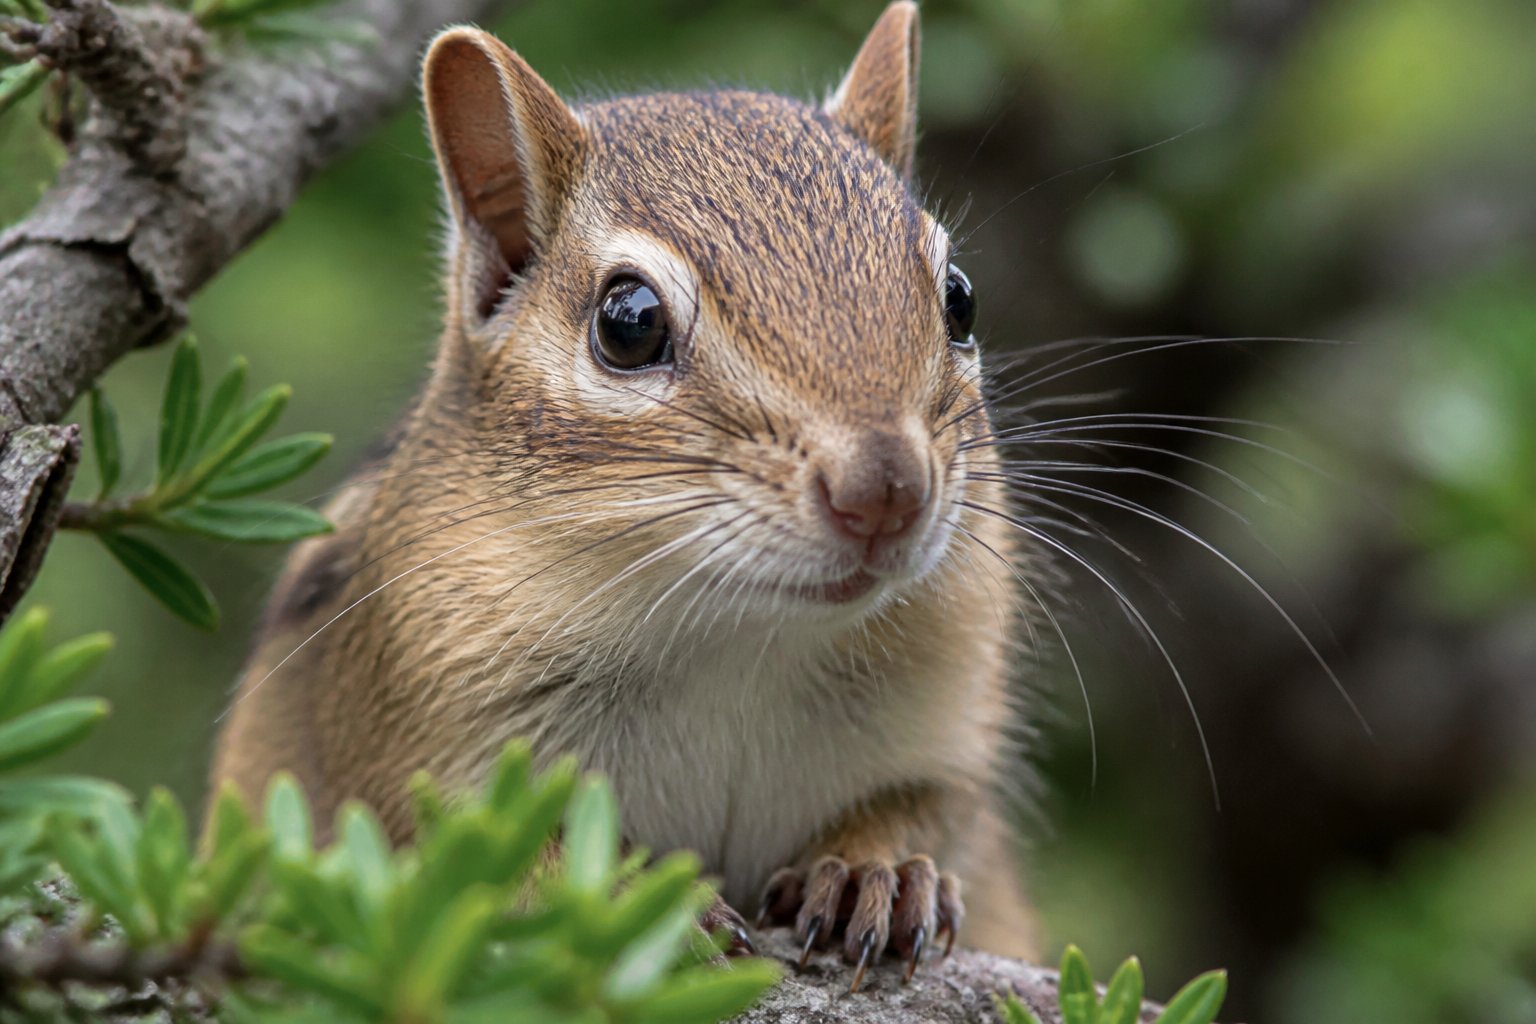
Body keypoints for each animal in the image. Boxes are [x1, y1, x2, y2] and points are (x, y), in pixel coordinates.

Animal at [212, 1, 1039, 985]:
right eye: (629, 322)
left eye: (960, 298)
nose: (885, 493)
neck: (741, 642)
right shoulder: (409, 737)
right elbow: (486, 859)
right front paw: (620, 901)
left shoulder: (950, 732)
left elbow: (932, 807)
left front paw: (878, 870)